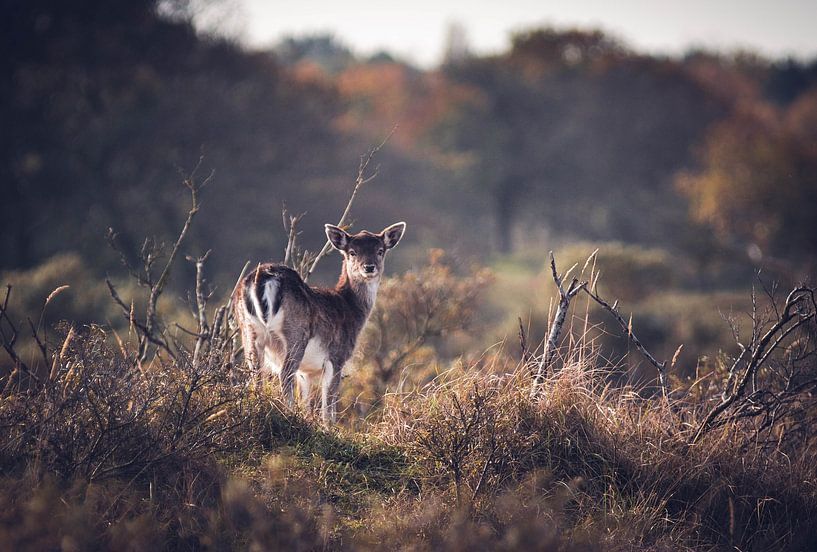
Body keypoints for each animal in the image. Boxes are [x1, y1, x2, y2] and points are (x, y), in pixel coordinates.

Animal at [232, 222, 406, 423]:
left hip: (248, 331)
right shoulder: (337, 357)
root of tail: (264, 277)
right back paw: (289, 415)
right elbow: (328, 406)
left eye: (380, 250)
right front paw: (329, 427)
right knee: (285, 373)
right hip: (295, 334)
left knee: (255, 375)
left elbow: (307, 403)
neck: (351, 310)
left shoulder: (305, 373)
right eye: (352, 252)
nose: (369, 267)